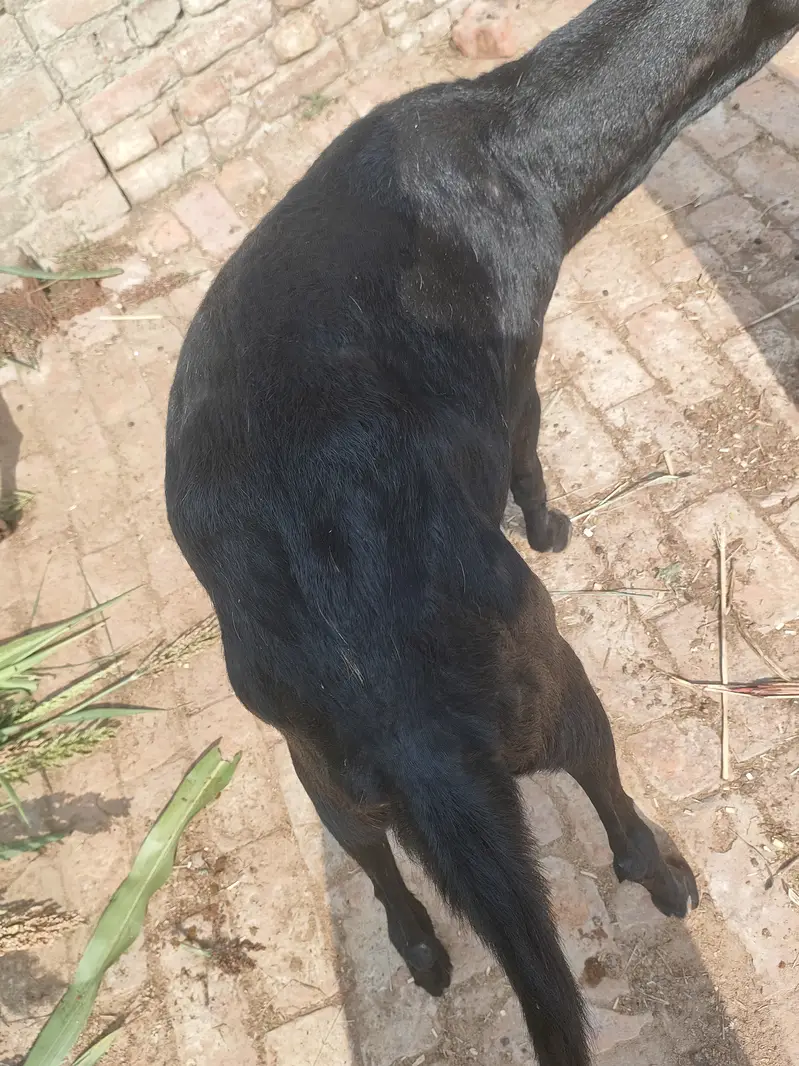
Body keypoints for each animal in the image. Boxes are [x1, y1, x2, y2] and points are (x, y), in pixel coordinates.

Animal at [165, 1, 799, 1062]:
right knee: (607, 800)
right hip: (553, 685)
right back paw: (666, 874)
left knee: (378, 868)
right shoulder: (515, 372)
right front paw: (550, 527)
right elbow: (528, 449)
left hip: (318, 770)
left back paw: (424, 953)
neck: (509, 137)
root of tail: (407, 723)